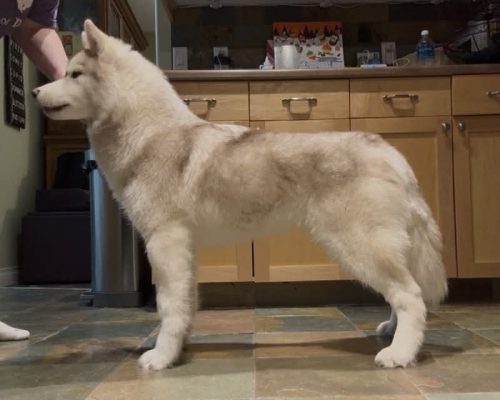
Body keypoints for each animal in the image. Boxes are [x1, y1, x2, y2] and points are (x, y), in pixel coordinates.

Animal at [33, 19, 447, 370]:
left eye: (73, 74)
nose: (37, 90)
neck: (149, 132)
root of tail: (392, 153)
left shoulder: (164, 242)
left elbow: (168, 307)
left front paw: (162, 358)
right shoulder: (184, 249)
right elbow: (185, 306)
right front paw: (179, 349)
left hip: (359, 246)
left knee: (411, 295)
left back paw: (400, 353)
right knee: (403, 292)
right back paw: (392, 333)